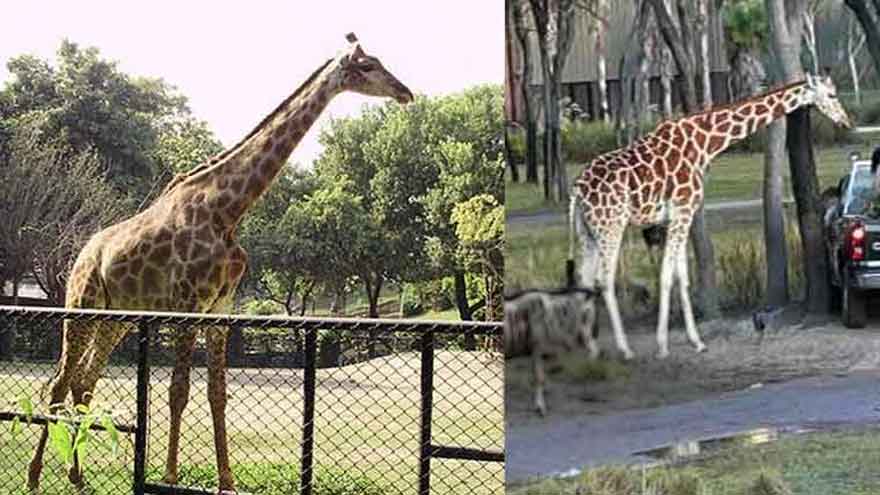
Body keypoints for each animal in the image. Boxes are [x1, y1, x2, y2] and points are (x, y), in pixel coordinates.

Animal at [27, 33, 413, 493]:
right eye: (368, 66)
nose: (405, 92)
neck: (227, 210)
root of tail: (83, 254)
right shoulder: (188, 304)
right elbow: (178, 390)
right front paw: (170, 475)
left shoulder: (220, 310)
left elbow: (217, 393)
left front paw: (226, 480)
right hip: (81, 306)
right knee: (60, 382)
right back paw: (35, 475)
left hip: (116, 317)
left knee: (84, 381)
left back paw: (77, 475)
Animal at [569, 74, 852, 361]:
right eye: (831, 95)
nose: (846, 121)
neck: (705, 144)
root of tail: (577, 190)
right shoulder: (683, 210)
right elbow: (667, 275)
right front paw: (663, 345)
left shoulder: (675, 218)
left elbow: (681, 276)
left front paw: (696, 342)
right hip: (611, 226)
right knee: (604, 281)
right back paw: (624, 349)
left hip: (587, 231)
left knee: (584, 280)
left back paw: (591, 348)